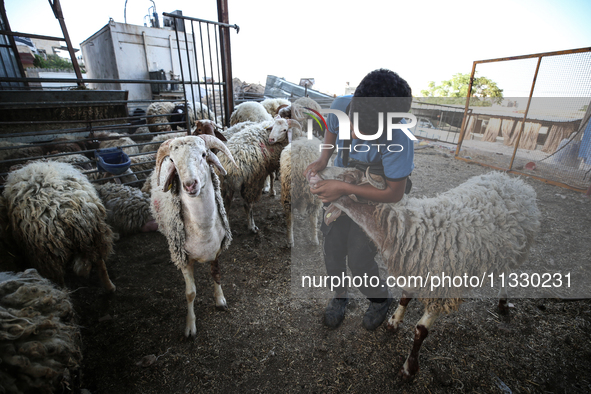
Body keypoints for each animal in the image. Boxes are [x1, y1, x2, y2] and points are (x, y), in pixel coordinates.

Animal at [149, 135, 237, 336]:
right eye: (173, 161)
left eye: (204, 154)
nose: (190, 185)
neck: (203, 229)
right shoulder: (184, 259)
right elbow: (190, 293)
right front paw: (190, 325)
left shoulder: (217, 250)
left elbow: (216, 275)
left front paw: (220, 301)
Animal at [312, 169, 544, 378]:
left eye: (346, 179)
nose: (313, 175)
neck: (413, 230)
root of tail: (514, 180)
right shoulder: (415, 270)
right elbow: (405, 297)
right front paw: (394, 322)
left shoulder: (440, 289)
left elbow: (421, 330)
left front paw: (409, 369)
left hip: (517, 250)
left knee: (507, 275)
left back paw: (503, 303)